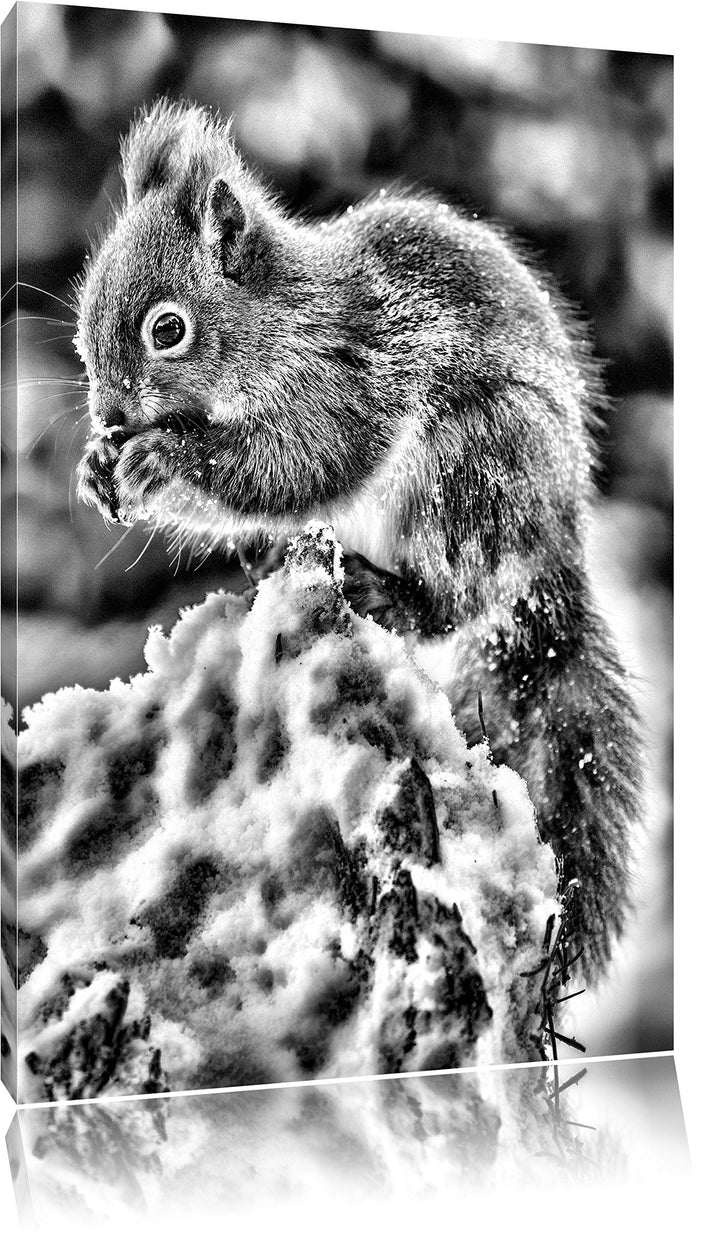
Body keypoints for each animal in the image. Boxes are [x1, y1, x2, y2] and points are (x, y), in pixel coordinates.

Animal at [75, 99, 642, 977]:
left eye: (167, 329)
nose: (108, 413)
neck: (280, 325)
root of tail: (556, 554)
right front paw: (97, 467)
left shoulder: (345, 382)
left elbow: (296, 465)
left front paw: (160, 458)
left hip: (470, 473)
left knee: (452, 605)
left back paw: (387, 591)